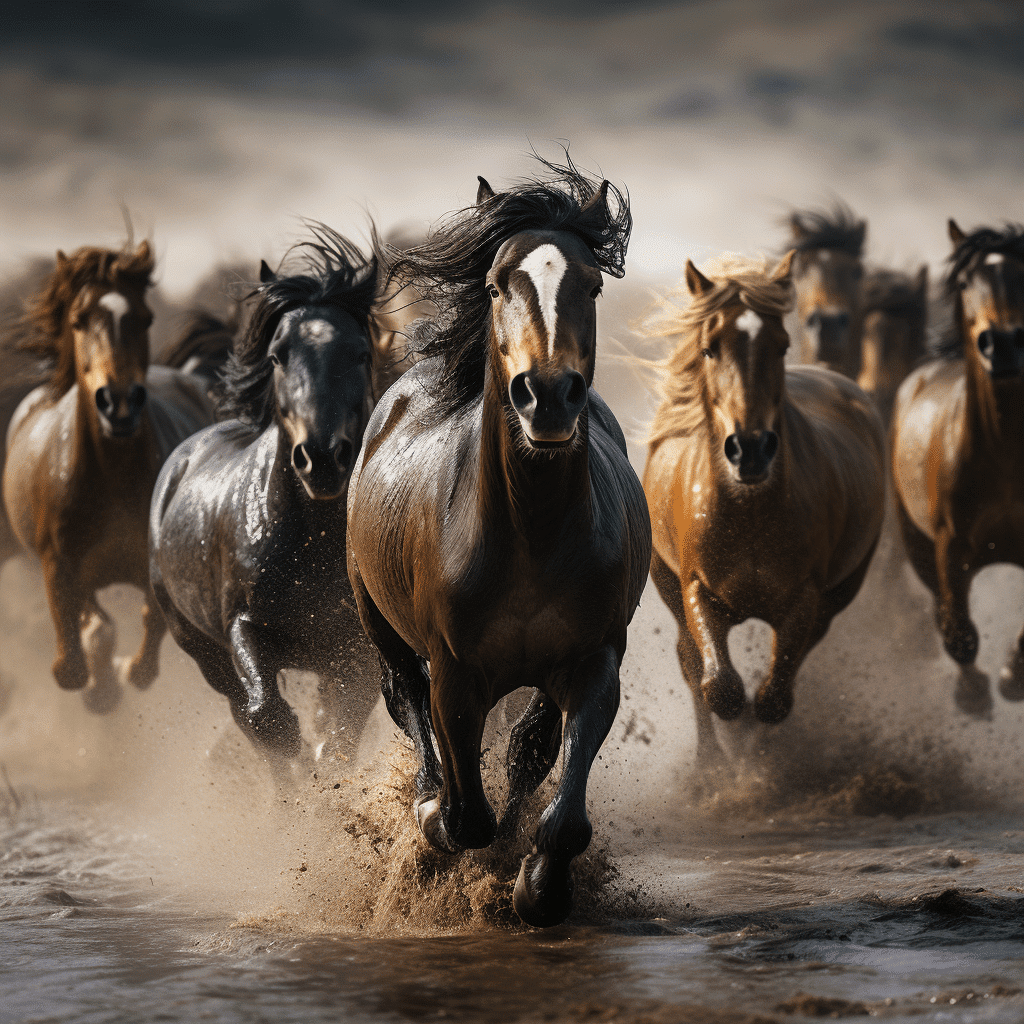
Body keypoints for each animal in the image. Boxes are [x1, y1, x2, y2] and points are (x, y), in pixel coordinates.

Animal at [2, 241, 215, 712]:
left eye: (146, 318)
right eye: (79, 321)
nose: (119, 403)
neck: (111, 476)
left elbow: (149, 629)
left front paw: (123, 672)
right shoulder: (58, 564)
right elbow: (75, 654)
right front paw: (99, 681)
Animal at [149, 228, 382, 765]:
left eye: (361, 352)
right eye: (278, 355)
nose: (322, 457)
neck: (312, 541)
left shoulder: (357, 657)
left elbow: (339, 737)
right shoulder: (245, 627)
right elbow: (266, 718)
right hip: (201, 650)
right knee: (242, 711)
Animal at [346, 162, 650, 928]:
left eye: (592, 284)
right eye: (494, 284)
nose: (547, 394)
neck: (529, 534)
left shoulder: (593, 662)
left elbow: (555, 803)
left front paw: (536, 888)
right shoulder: (456, 673)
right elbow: (463, 813)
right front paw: (434, 828)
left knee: (525, 752)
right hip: (379, 623)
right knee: (406, 699)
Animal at [642, 254, 886, 771]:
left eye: (782, 345)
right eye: (710, 348)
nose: (750, 450)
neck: (750, 513)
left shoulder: (806, 597)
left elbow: (773, 697)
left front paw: (756, 760)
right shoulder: (696, 589)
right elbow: (719, 686)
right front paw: (724, 760)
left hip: (836, 596)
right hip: (667, 584)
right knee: (690, 664)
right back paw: (708, 765)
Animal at [891, 220, 1024, 715]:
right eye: (966, 282)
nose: (1001, 344)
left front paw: (1012, 676)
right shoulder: (952, 548)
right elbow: (960, 635)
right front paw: (975, 693)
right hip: (915, 541)